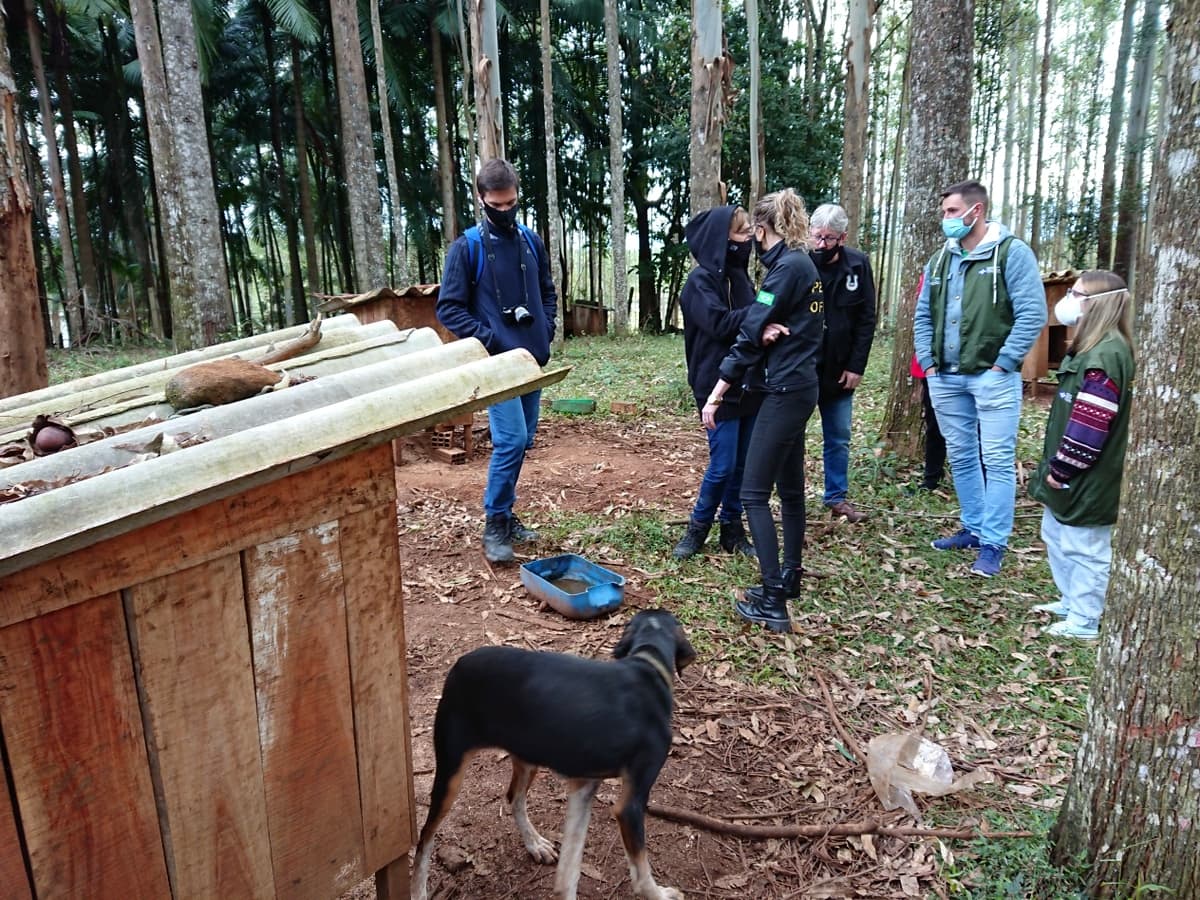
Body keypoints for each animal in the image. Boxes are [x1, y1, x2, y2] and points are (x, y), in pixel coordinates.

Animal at [410, 609, 696, 897]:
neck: (648, 663)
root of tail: (459, 664)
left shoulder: (584, 786)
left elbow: (568, 870)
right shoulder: (630, 805)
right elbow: (641, 874)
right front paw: (661, 894)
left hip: (528, 757)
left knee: (514, 798)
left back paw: (535, 844)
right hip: (451, 772)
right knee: (426, 835)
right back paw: (418, 890)